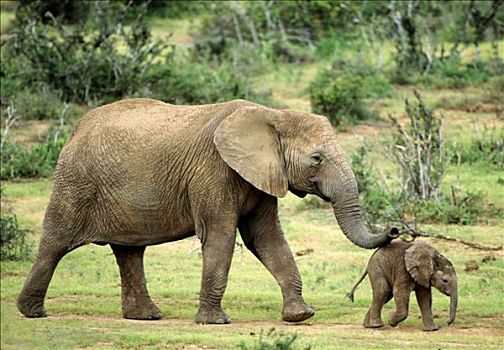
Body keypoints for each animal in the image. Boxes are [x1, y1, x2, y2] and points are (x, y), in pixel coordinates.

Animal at [16, 98, 394, 322]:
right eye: (317, 158)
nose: (394, 230)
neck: (273, 114)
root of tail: (75, 130)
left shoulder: (259, 174)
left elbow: (267, 239)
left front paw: (300, 316)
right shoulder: (213, 171)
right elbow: (221, 237)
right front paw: (215, 322)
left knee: (129, 251)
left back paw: (146, 317)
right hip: (75, 182)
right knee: (55, 243)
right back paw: (32, 313)